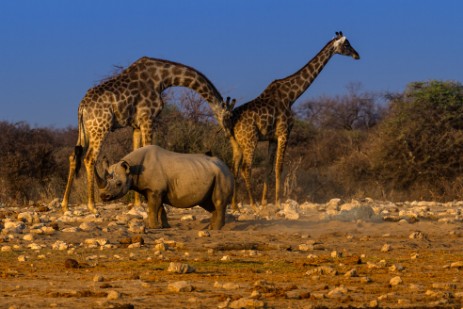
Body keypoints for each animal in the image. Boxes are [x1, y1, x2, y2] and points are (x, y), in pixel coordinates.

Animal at [61, 56, 236, 213]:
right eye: (229, 117)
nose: (230, 135)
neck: (163, 78)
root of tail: (82, 107)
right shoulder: (148, 119)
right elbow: (147, 148)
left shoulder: (136, 125)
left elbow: (135, 157)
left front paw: (138, 204)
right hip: (100, 127)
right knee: (89, 158)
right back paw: (92, 206)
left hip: (85, 130)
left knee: (73, 156)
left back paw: (64, 205)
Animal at [230, 31, 360, 209]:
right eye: (346, 44)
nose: (357, 55)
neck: (292, 96)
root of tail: (231, 122)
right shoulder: (284, 132)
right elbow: (279, 167)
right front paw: (277, 201)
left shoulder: (272, 138)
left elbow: (268, 168)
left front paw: (265, 201)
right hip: (250, 140)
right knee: (245, 168)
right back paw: (252, 203)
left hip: (238, 143)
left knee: (234, 168)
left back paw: (234, 205)